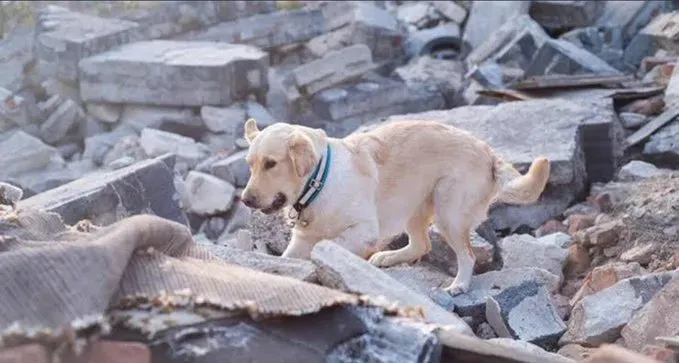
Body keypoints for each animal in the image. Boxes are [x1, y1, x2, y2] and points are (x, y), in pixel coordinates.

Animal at [242, 119, 548, 296]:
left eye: (271, 163)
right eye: (250, 164)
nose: (245, 200)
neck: (320, 180)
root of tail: (488, 152)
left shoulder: (364, 231)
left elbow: (327, 245)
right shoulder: (301, 240)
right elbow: (288, 258)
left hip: (448, 211)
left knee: (468, 256)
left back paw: (459, 284)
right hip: (414, 206)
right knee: (422, 245)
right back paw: (388, 258)